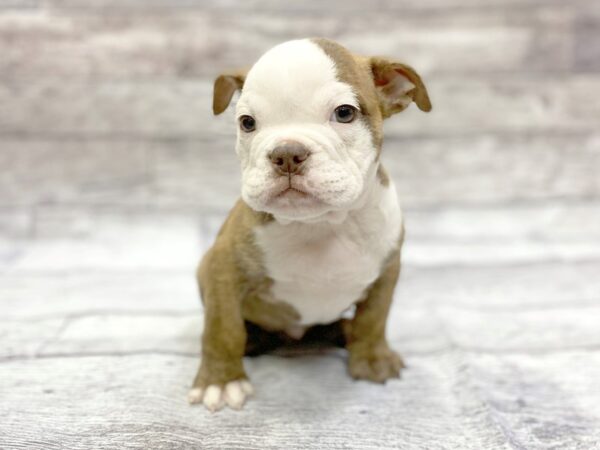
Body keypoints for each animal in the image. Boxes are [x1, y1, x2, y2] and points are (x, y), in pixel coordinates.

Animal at [190, 37, 428, 412]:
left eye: (344, 113)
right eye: (247, 122)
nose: (287, 153)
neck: (320, 223)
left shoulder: (387, 271)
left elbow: (374, 317)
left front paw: (372, 358)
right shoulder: (222, 269)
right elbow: (223, 327)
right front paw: (222, 381)